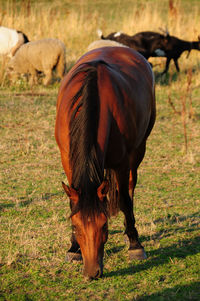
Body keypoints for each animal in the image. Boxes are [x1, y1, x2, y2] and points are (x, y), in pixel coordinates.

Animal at [54, 46, 156, 278]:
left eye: (104, 226)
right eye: (76, 227)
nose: (92, 273)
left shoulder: (122, 162)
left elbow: (125, 201)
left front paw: (135, 245)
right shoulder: (67, 159)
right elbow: (73, 203)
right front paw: (73, 249)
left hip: (138, 150)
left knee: (130, 188)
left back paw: (130, 233)